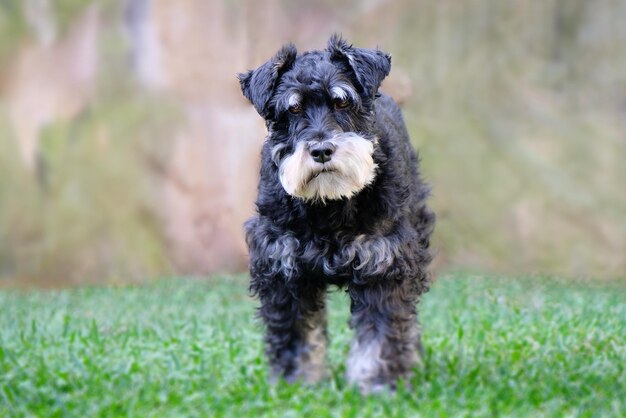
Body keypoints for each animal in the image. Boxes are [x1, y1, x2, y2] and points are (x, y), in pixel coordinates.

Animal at [239, 34, 434, 394]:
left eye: (342, 103)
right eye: (293, 108)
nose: (321, 150)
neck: (328, 204)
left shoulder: (382, 264)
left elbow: (380, 334)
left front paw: (378, 384)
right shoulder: (283, 269)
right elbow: (295, 335)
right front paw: (295, 382)